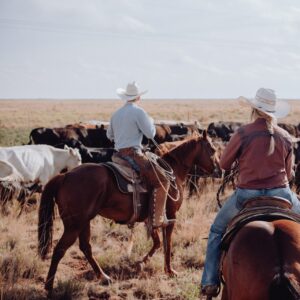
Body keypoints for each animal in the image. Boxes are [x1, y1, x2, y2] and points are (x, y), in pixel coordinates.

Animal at [37, 131, 218, 292]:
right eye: (213, 149)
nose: (219, 170)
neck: (173, 170)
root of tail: (65, 176)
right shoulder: (170, 216)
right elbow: (167, 244)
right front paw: (169, 270)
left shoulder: (150, 218)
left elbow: (157, 242)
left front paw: (141, 263)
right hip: (74, 225)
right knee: (60, 249)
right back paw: (49, 286)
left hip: (83, 222)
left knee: (85, 247)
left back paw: (103, 277)